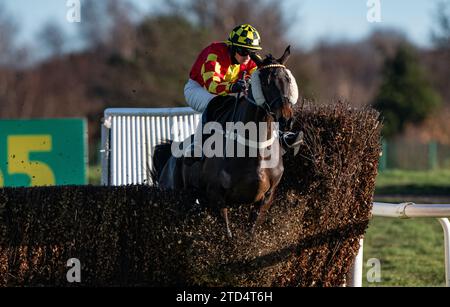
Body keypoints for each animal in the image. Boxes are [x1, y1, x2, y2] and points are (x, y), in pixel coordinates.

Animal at [151, 46, 298, 238]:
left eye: (288, 79)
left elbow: (251, 232)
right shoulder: (217, 196)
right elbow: (227, 234)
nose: (286, 118)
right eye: (266, 82)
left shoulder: (266, 196)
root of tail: (168, 159)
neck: (254, 149)